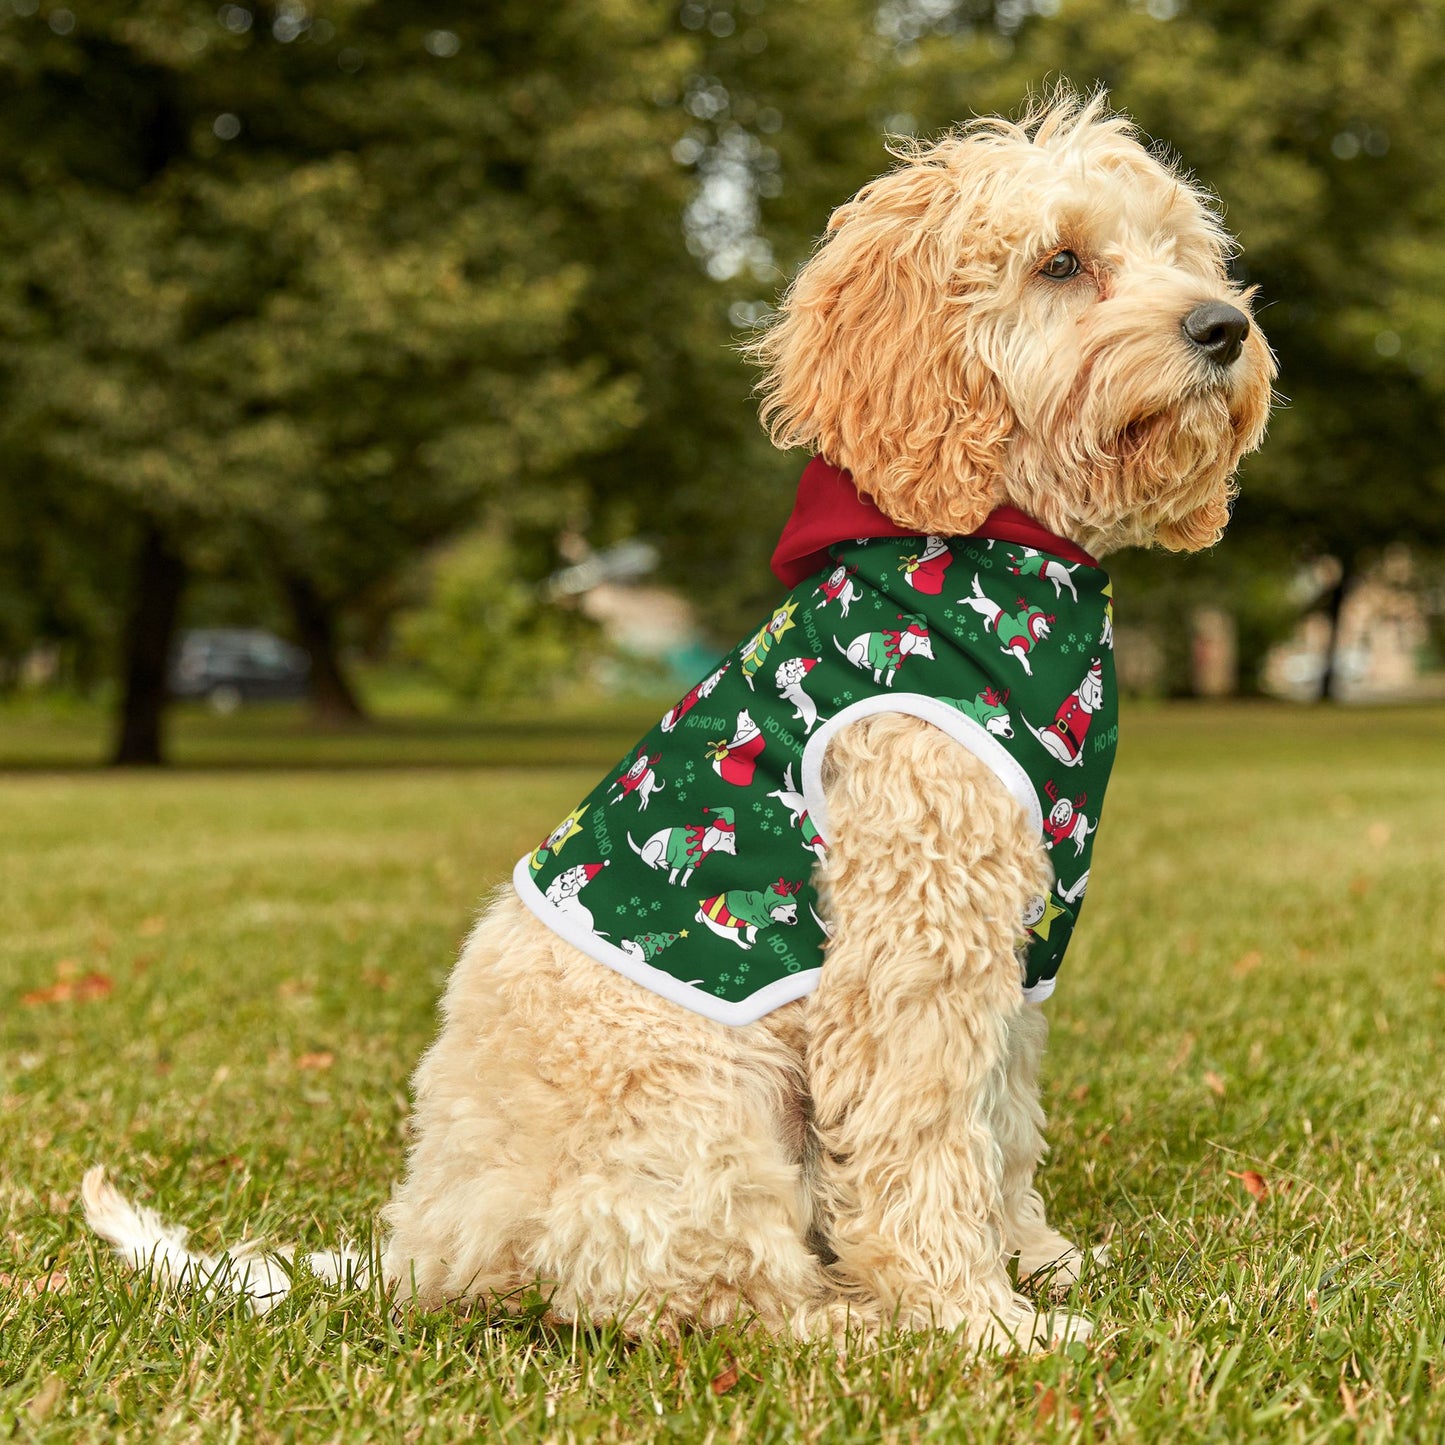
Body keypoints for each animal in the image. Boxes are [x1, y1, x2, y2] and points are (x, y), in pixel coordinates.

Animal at [84, 90, 1271, 1352]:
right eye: (1059, 262)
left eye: (1181, 253)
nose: (1221, 327)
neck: (1000, 555)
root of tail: (423, 1248)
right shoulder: (912, 938)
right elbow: (924, 1136)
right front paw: (976, 1318)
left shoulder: (1013, 939)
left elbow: (999, 1120)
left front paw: (1035, 1260)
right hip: (702, 1101)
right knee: (697, 1290)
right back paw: (852, 1322)